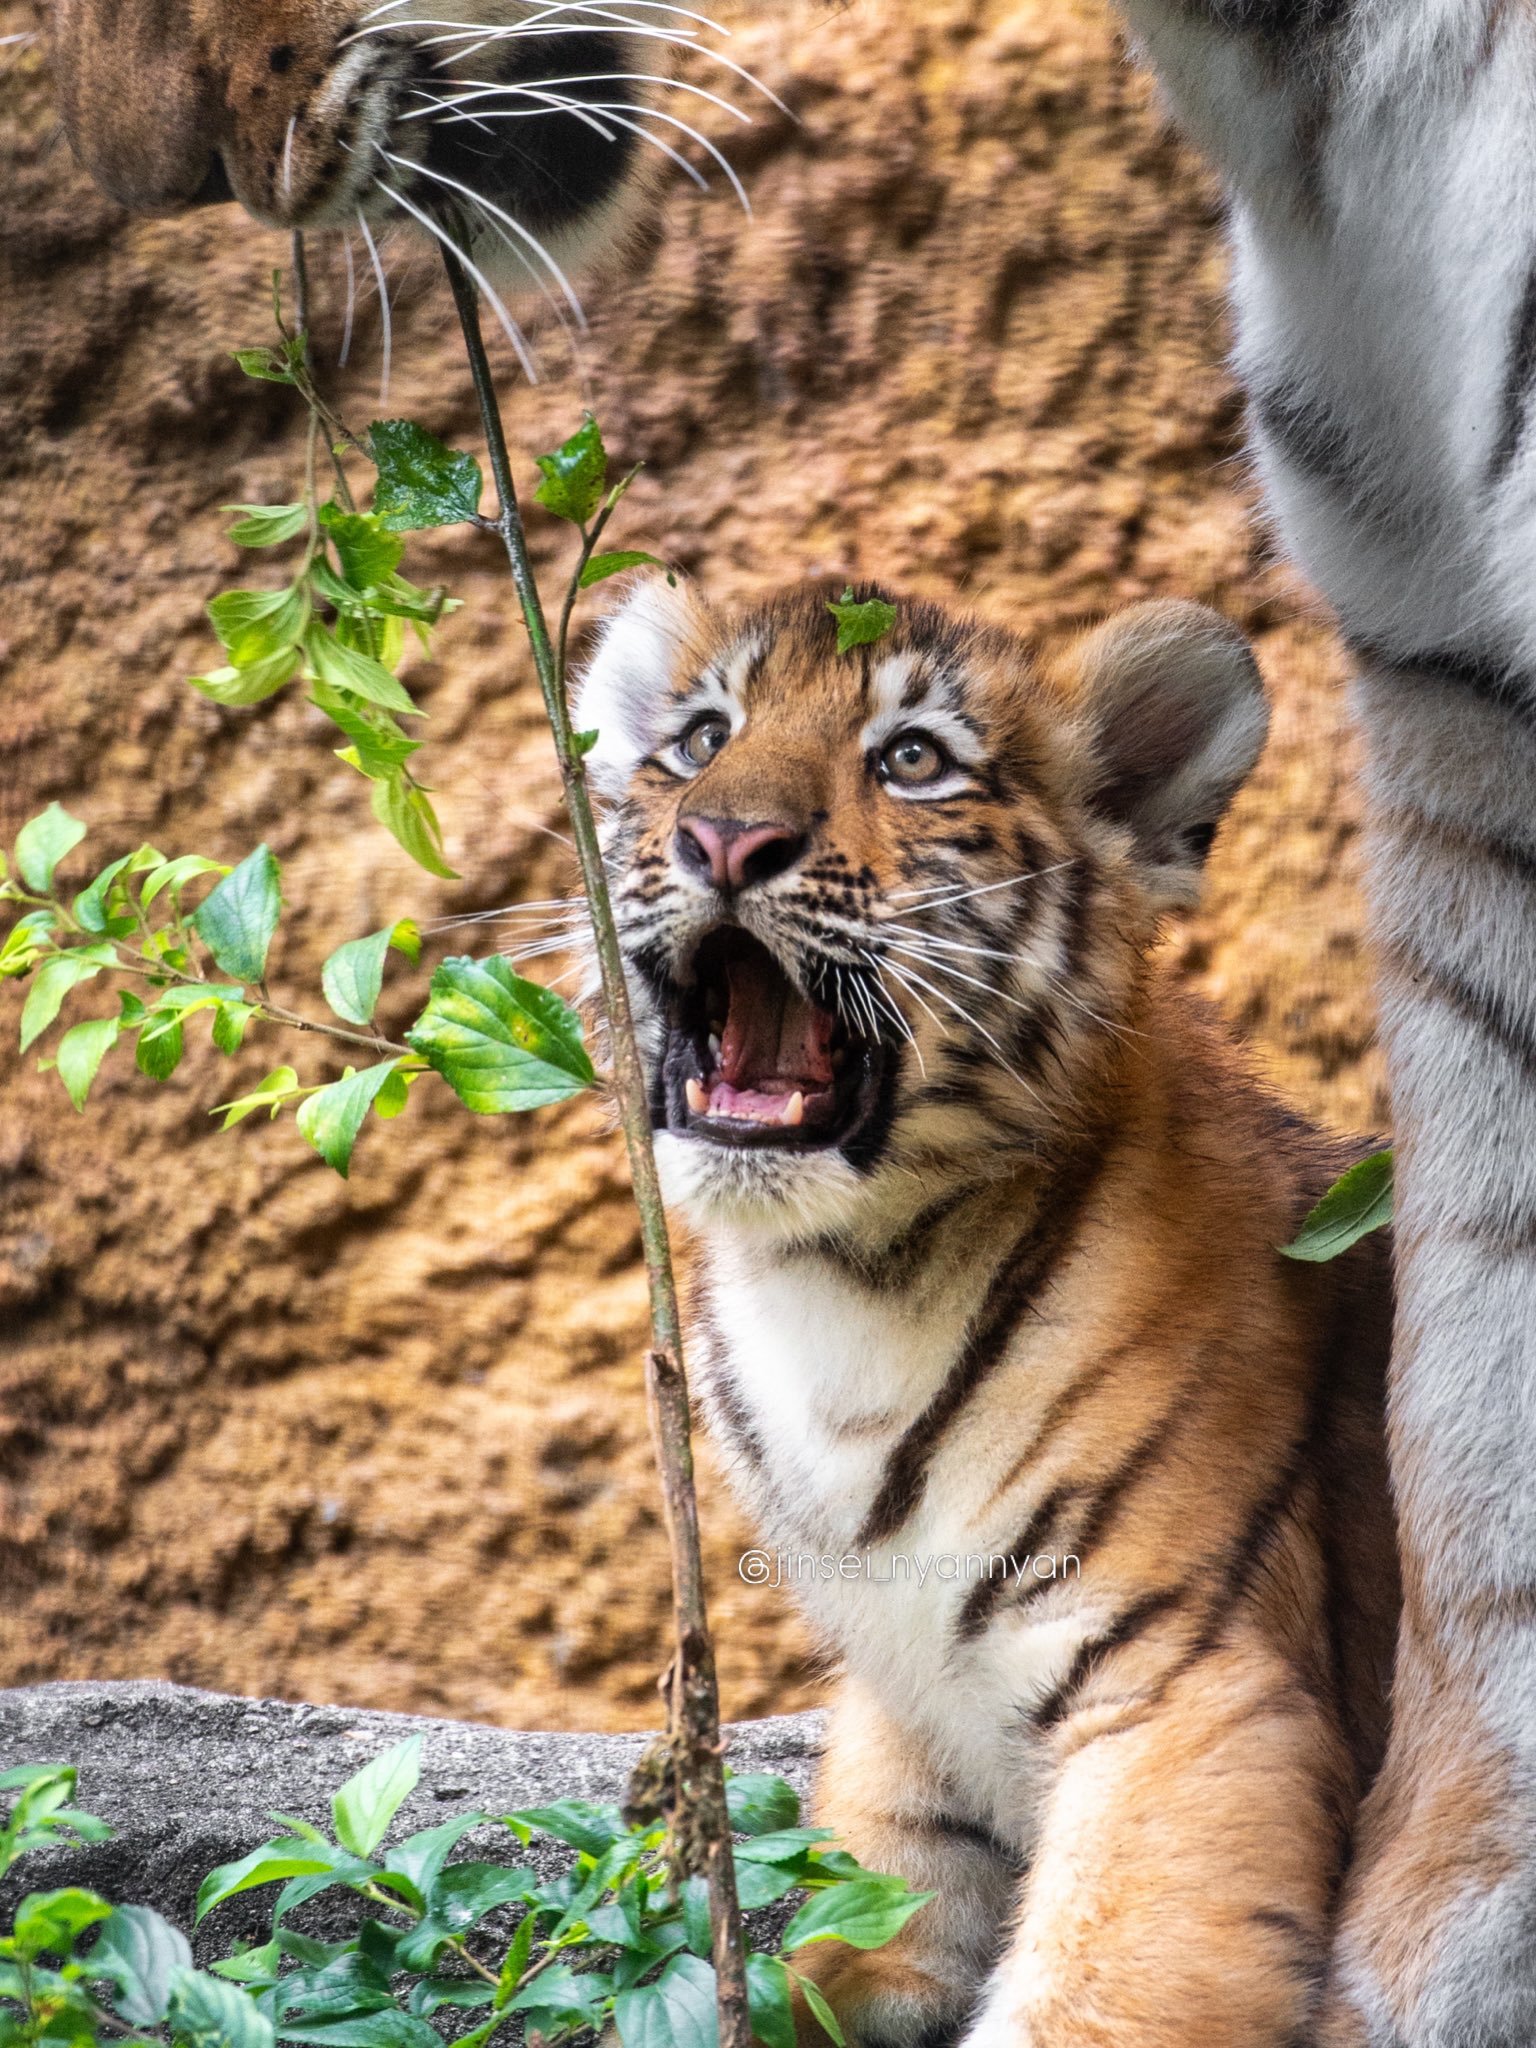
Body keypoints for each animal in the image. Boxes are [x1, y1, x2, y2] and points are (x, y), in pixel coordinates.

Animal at [573, 570, 1400, 2047]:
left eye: (912, 758)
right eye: (700, 738)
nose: (724, 838)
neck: (842, 1289)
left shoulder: (1195, 1698)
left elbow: (1086, 1999)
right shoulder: (905, 1747)